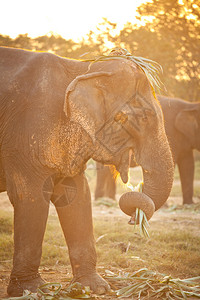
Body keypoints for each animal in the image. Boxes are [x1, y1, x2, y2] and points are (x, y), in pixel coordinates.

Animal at [0, 45, 173, 296]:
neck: (84, 68)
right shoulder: (25, 135)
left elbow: (77, 196)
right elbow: (31, 197)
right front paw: (32, 291)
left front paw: (94, 288)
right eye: (143, 118)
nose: (133, 220)